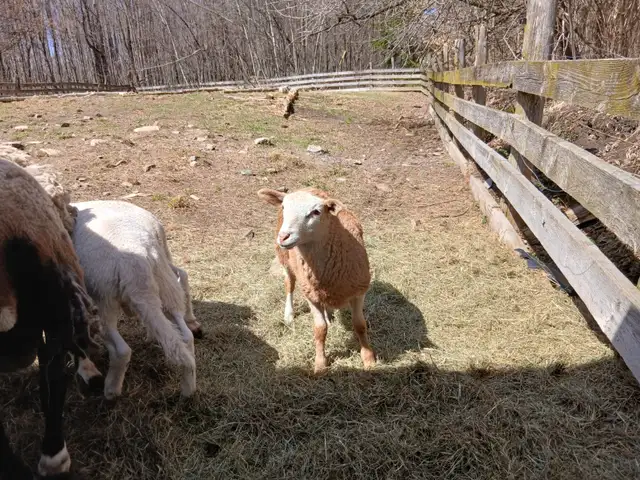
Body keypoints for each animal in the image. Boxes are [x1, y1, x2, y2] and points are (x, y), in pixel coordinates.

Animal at [70, 200, 198, 399]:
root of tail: (138, 261)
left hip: (103, 299)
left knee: (121, 350)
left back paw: (111, 390)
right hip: (164, 278)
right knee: (184, 333)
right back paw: (188, 387)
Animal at [257, 187, 376, 373]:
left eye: (316, 212)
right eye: (284, 207)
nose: (284, 237)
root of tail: (305, 187)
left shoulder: (358, 291)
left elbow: (360, 325)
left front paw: (369, 359)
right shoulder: (310, 295)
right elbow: (320, 330)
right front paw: (320, 364)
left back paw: (329, 314)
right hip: (285, 260)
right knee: (289, 285)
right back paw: (289, 315)